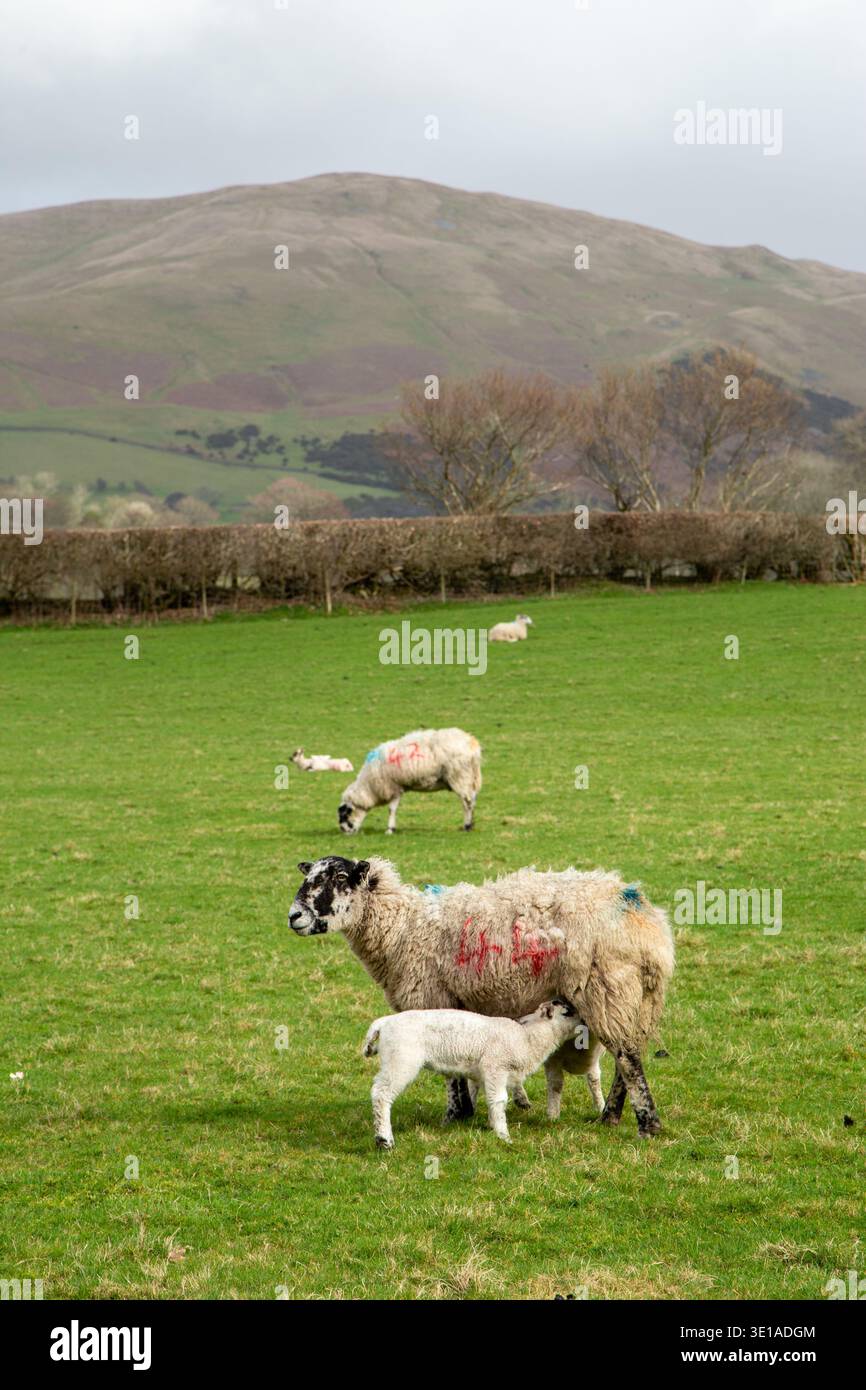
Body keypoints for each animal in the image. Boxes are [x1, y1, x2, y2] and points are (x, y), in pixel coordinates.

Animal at [338, 727, 481, 835]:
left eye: (345, 815)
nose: (343, 831)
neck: (369, 786)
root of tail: (472, 744)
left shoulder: (393, 787)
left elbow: (391, 809)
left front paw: (390, 830)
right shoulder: (397, 788)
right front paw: (392, 828)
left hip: (460, 776)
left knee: (467, 803)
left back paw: (467, 826)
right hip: (469, 777)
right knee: (472, 801)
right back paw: (471, 824)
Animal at [362, 999, 580, 1147]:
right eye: (567, 1013)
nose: (585, 1022)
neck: (527, 1038)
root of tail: (383, 1023)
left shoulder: (486, 1075)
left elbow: (490, 1099)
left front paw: (492, 1127)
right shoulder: (496, 1067)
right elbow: (499, 1100)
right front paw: (504, 1136)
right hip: (401, 1060)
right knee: (381, 1094)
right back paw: (384, 1140)